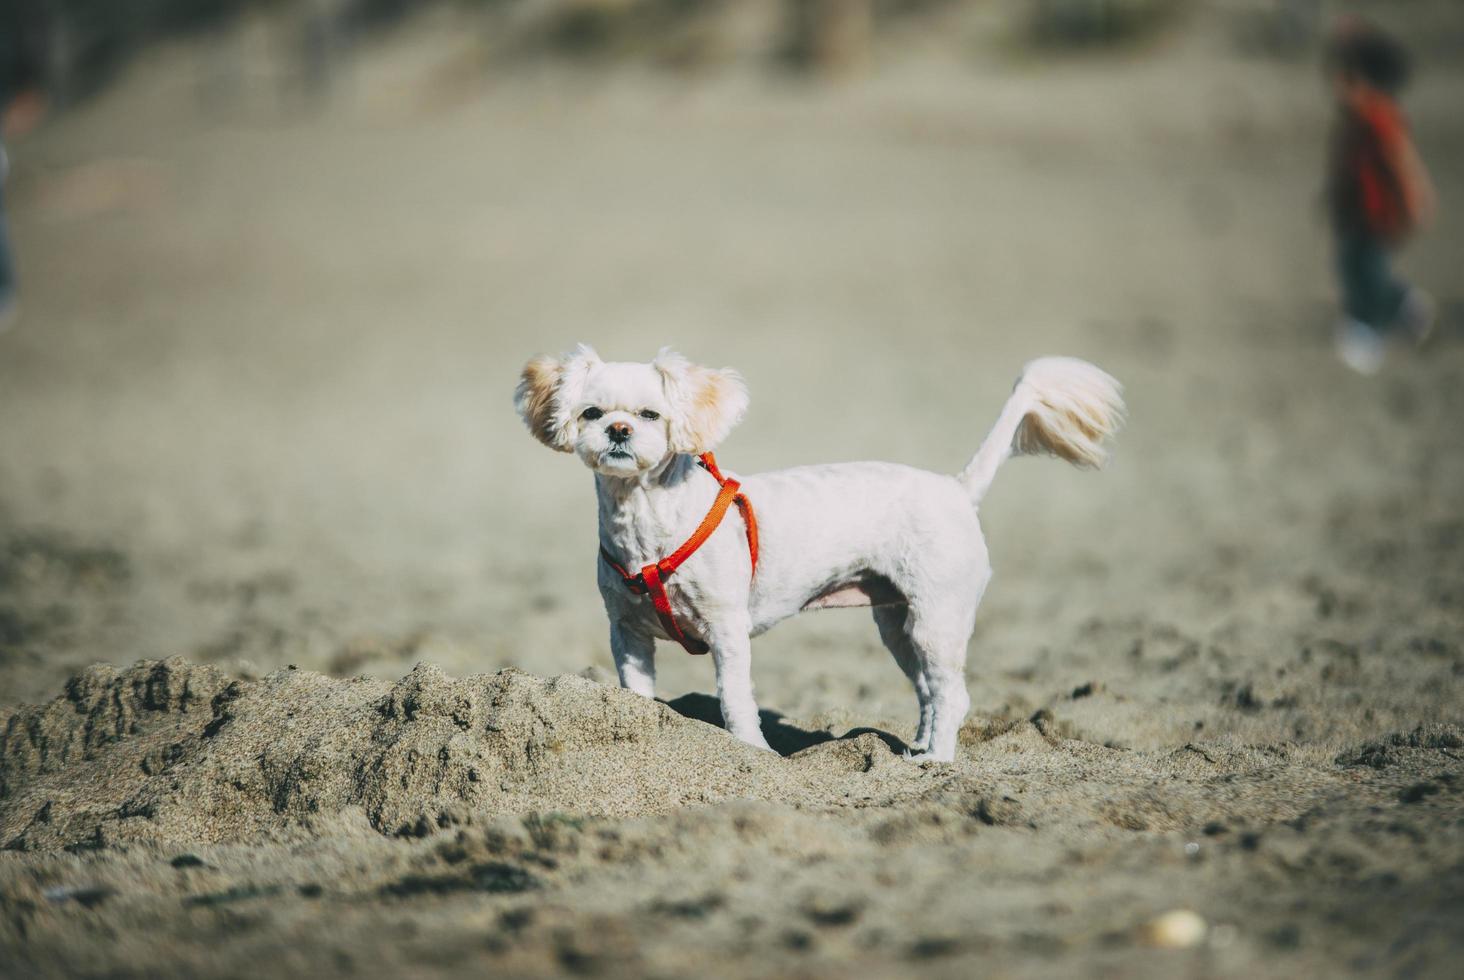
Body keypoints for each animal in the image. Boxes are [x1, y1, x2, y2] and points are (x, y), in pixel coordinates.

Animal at [515, 347, 1118, 761]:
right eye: (592, 413)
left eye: (649, 414)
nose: (617, 431)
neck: (648, 523)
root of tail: (957, 489)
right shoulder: (628, 633)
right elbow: (636, 694)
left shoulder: (726, 629)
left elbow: (735, 700)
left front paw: (753, 755)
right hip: (898, 625)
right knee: (927, 690)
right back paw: (918, 753)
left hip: (937, 618)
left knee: (952, 695)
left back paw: (939, 762)